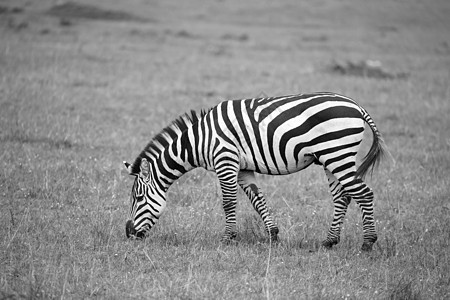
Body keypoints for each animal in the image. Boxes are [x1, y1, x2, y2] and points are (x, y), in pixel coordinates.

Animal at [124, 92, 386, 252]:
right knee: (342, 197)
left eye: (138, 198)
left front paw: (227, 238)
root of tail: (356, 106)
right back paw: (330, 241)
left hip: (336, 154)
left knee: (364, 194)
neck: (200, 140)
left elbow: (229, 202)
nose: (128, 234)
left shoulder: (225, 159)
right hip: (330, 159)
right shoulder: (243, 168)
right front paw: (273, 235)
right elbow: (257, 199)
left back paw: (368, 243)